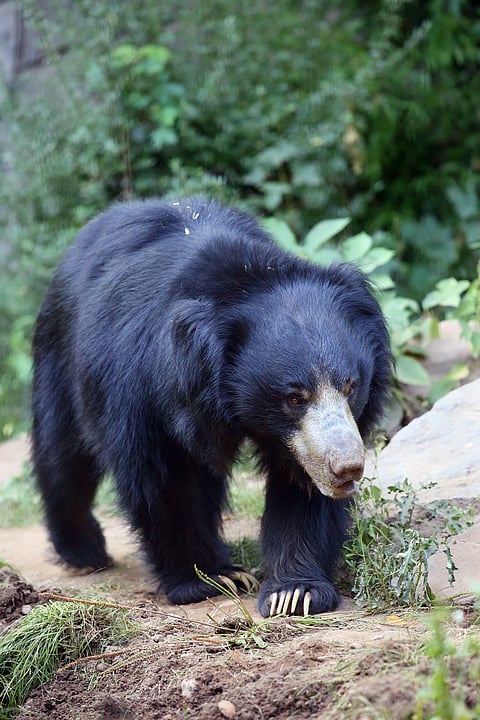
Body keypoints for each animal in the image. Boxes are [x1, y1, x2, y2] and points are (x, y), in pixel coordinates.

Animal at [31, 197, 391, 617]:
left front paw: (294, 592)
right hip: (59, 357)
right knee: (63, 457)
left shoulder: (300, 442)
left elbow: (301, 486)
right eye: (294, 398)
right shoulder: (143, 389)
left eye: (351, 386)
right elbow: (162, 478)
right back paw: (83, 552)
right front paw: (209, 579)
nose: (347, 469)